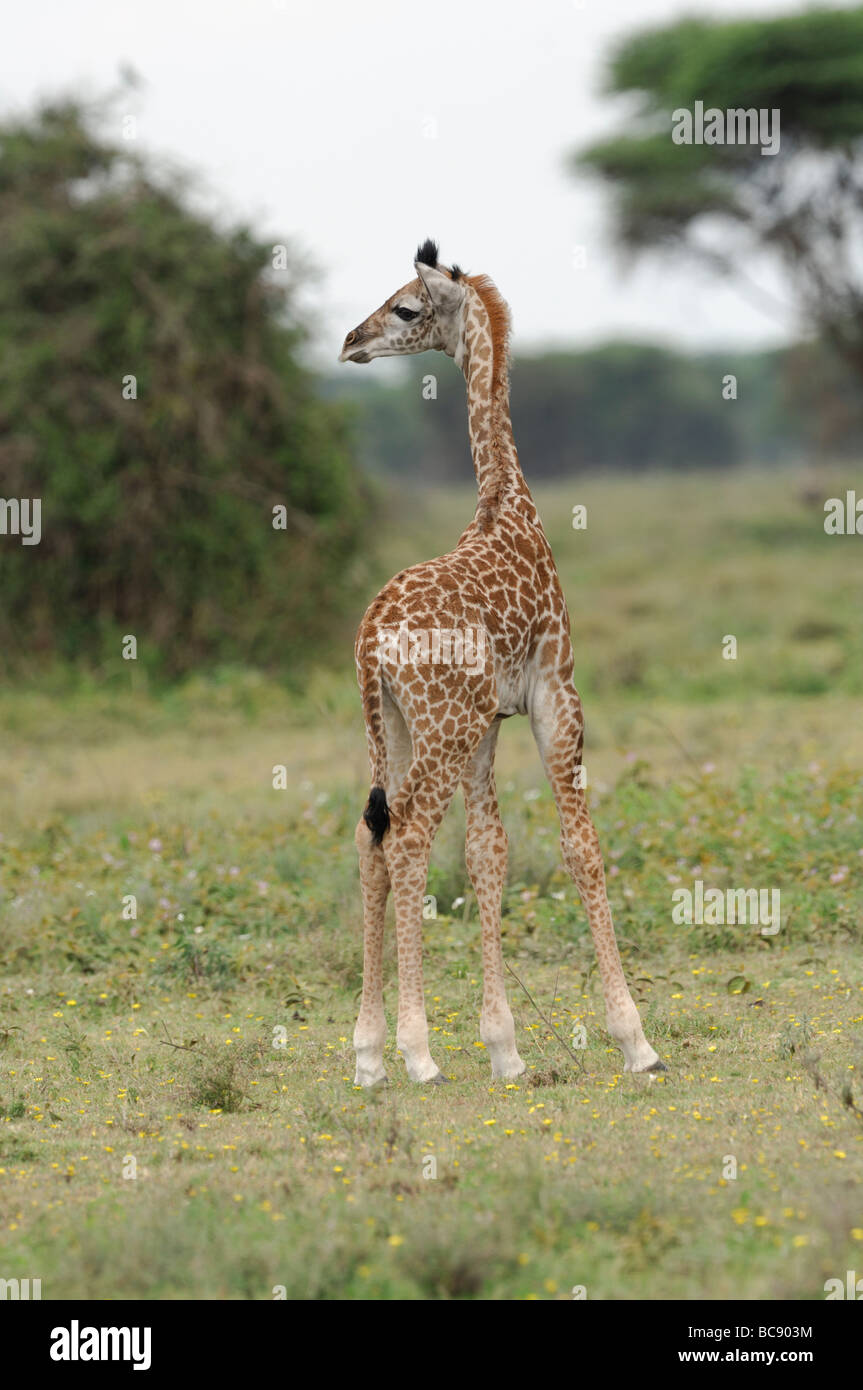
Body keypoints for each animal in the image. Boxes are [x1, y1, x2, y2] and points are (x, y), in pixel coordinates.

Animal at [336, 241, 658, 1084]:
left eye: (405, 307)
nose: (349, 342)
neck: (507, 509)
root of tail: (370, 634)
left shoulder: (490, 725)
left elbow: (488, 854)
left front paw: (504, 1048)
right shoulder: (555, 696)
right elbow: (580, 847)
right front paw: (634, 1039)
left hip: (394, 725)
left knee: (371, 835)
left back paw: (369, 1053)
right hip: (439, 729)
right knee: (407, 834)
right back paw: (415, 1052)